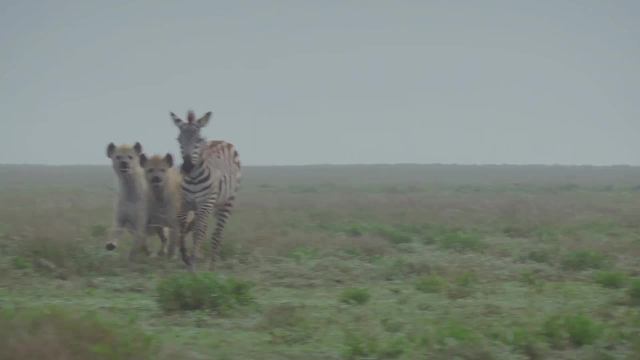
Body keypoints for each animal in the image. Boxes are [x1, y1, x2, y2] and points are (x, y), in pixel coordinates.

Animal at [170, 109, 240, 270]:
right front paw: (185, 256)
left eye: (199, 139)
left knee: (217, 232)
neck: (194, 178)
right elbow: (182, 229)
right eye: (179, 140)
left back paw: (212, 263)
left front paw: (192, 262)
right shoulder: (184, 203)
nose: (187, 167)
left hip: (226, 201)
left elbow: (198, 231)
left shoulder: (205, 203)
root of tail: (221, 141)